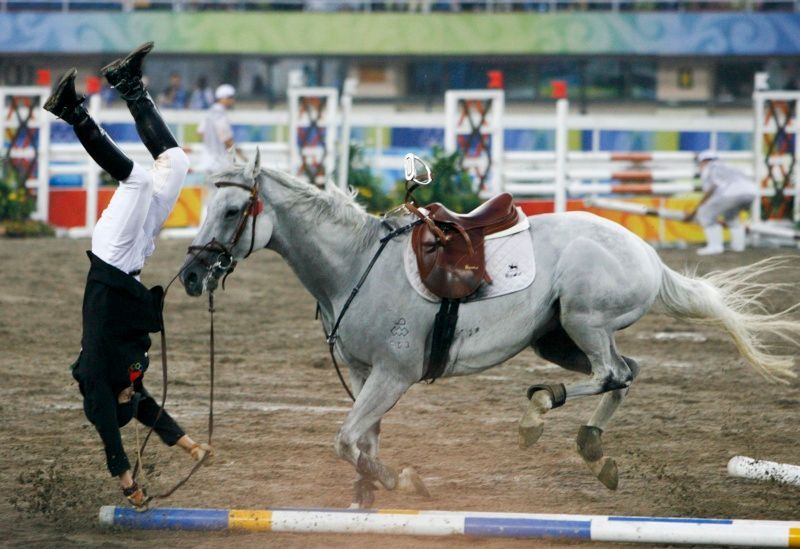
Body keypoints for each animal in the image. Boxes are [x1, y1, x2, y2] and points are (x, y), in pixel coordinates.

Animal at [181, 152, 800, 508]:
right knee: (628, 372)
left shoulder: (392, 375)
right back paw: (593, 448)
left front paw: (402, 483)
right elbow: (360, 441)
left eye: (233, 210)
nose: (189, 275)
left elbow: (345, 439)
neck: (354, 264)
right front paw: (367, 497)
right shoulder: (362, 374)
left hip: (583, 321)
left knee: (609, 372)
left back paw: (539, 412)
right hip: (559, 338)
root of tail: (646, 252)